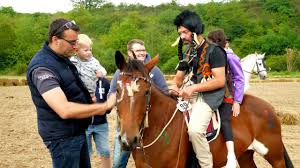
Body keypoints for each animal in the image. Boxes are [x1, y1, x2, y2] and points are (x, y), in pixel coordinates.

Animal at [113, 51, 292, 168]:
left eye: (146, 91)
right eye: (118, 90)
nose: (128, 139)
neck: (160, 127)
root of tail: (269, 108)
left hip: (275, 156)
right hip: (245, 155)